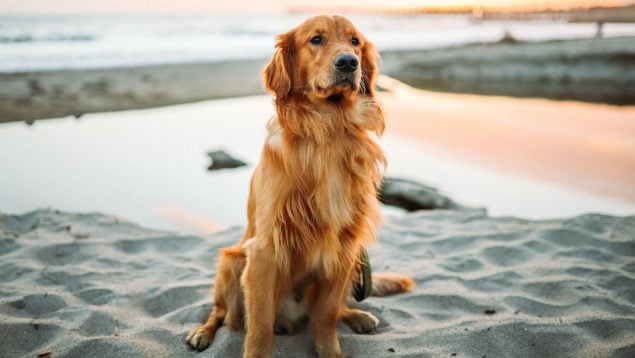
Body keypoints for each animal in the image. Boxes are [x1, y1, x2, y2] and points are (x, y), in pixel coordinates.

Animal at [188, 15, 418, 356]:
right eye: (316, 39)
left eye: (355, 42)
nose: (349, 63)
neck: (329, 128)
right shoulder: (264, 250)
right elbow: (259, 327)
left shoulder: (345, 246)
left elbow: (327, 314)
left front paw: (331, 350)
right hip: (232, 262)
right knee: (220, 313)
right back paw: (202, 332)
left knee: (335, 308)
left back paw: (358, 315)